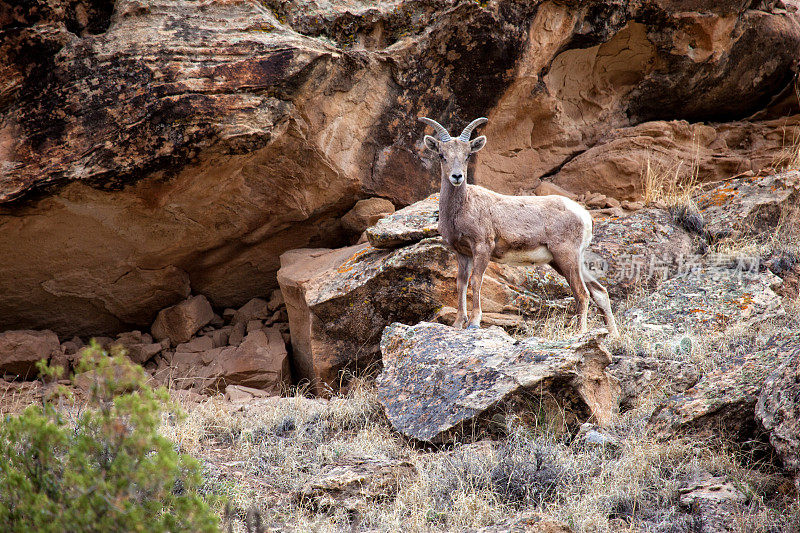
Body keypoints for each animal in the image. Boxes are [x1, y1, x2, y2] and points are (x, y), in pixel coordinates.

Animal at [422, 116, 620, 336]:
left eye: (468, 155)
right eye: (442, 155)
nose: (457, 177)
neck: (463, 207)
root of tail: (584, 216)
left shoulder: (482, 247)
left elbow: (476, 280)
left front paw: (474, 323)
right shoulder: (462, 253)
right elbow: (461, 283)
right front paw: (457, 324)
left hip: (566, 256)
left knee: (582, 294)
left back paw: (579, 333)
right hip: (566, 261)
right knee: (599, 292)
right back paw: (613, 336)